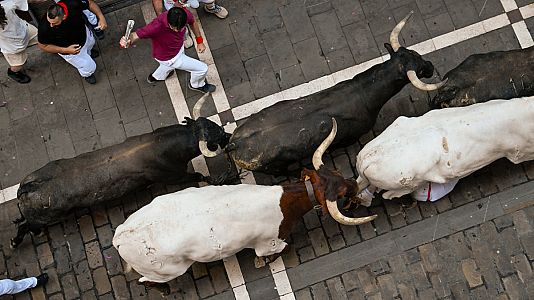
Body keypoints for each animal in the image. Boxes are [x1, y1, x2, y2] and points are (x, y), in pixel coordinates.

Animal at [11, 112, 231, 246]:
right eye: (215, 138)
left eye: (215, 125)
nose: (229, 136)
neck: (159, 145)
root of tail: (28, 187)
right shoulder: (174, 176)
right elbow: (198, 175)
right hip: (45, 218)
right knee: (27, 226)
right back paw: (17, 241)